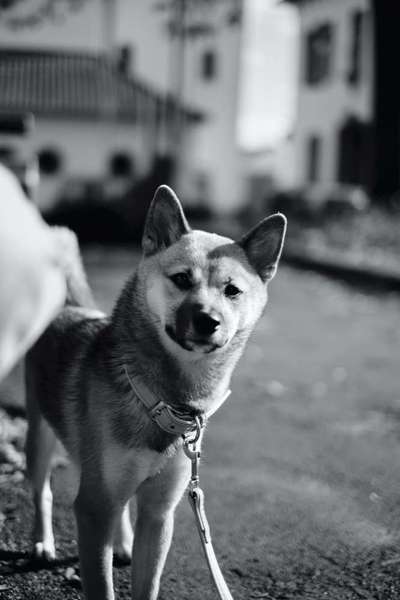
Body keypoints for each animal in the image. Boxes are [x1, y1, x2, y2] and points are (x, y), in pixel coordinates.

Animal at [25, 185, 286, 596]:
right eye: (181, 279)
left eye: (232, 291)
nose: (208, 321)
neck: (163, 399)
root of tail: (70, 308)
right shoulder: (93, 508)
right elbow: (100, 584)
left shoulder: (159, 513)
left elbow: (147, 583)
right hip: (40, 438)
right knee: (42, 491)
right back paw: (42, 541)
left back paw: (121, 543)